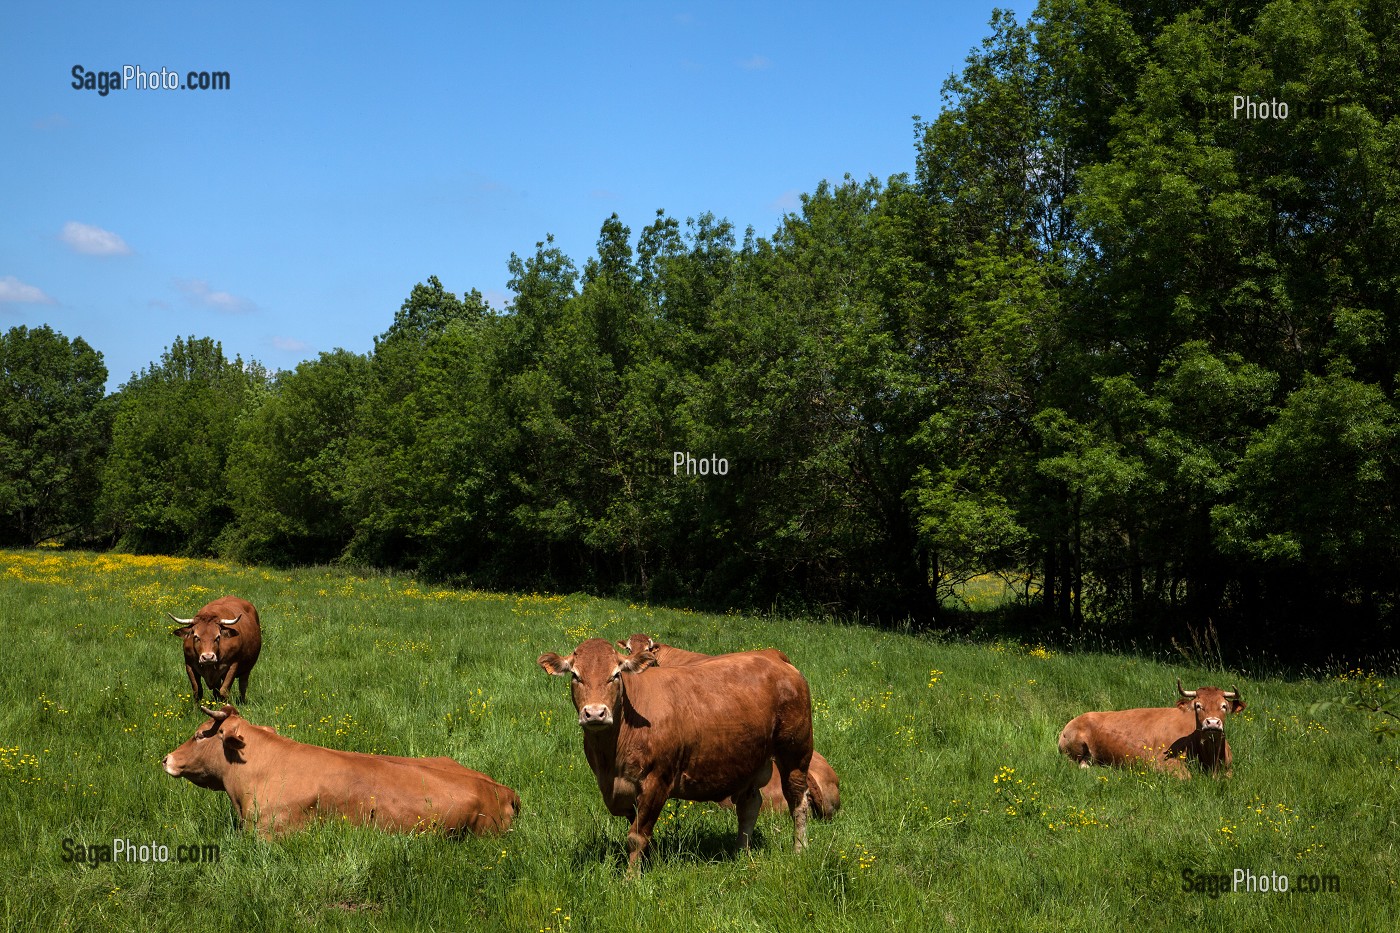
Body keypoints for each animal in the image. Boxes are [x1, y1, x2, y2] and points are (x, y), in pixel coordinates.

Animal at [538, 638, 813, 872]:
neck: (610, 762)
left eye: (615, 674)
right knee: (749, 806)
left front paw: (631, 879)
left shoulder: (657, 780)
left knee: (797, 801)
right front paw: (646, 863)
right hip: (748, 760)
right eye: (576, 675)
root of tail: (771, 655)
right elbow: (639, 832)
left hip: (795, 752)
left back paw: (799, 849)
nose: (595, 713)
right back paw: (740, 853)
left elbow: (637, 836)